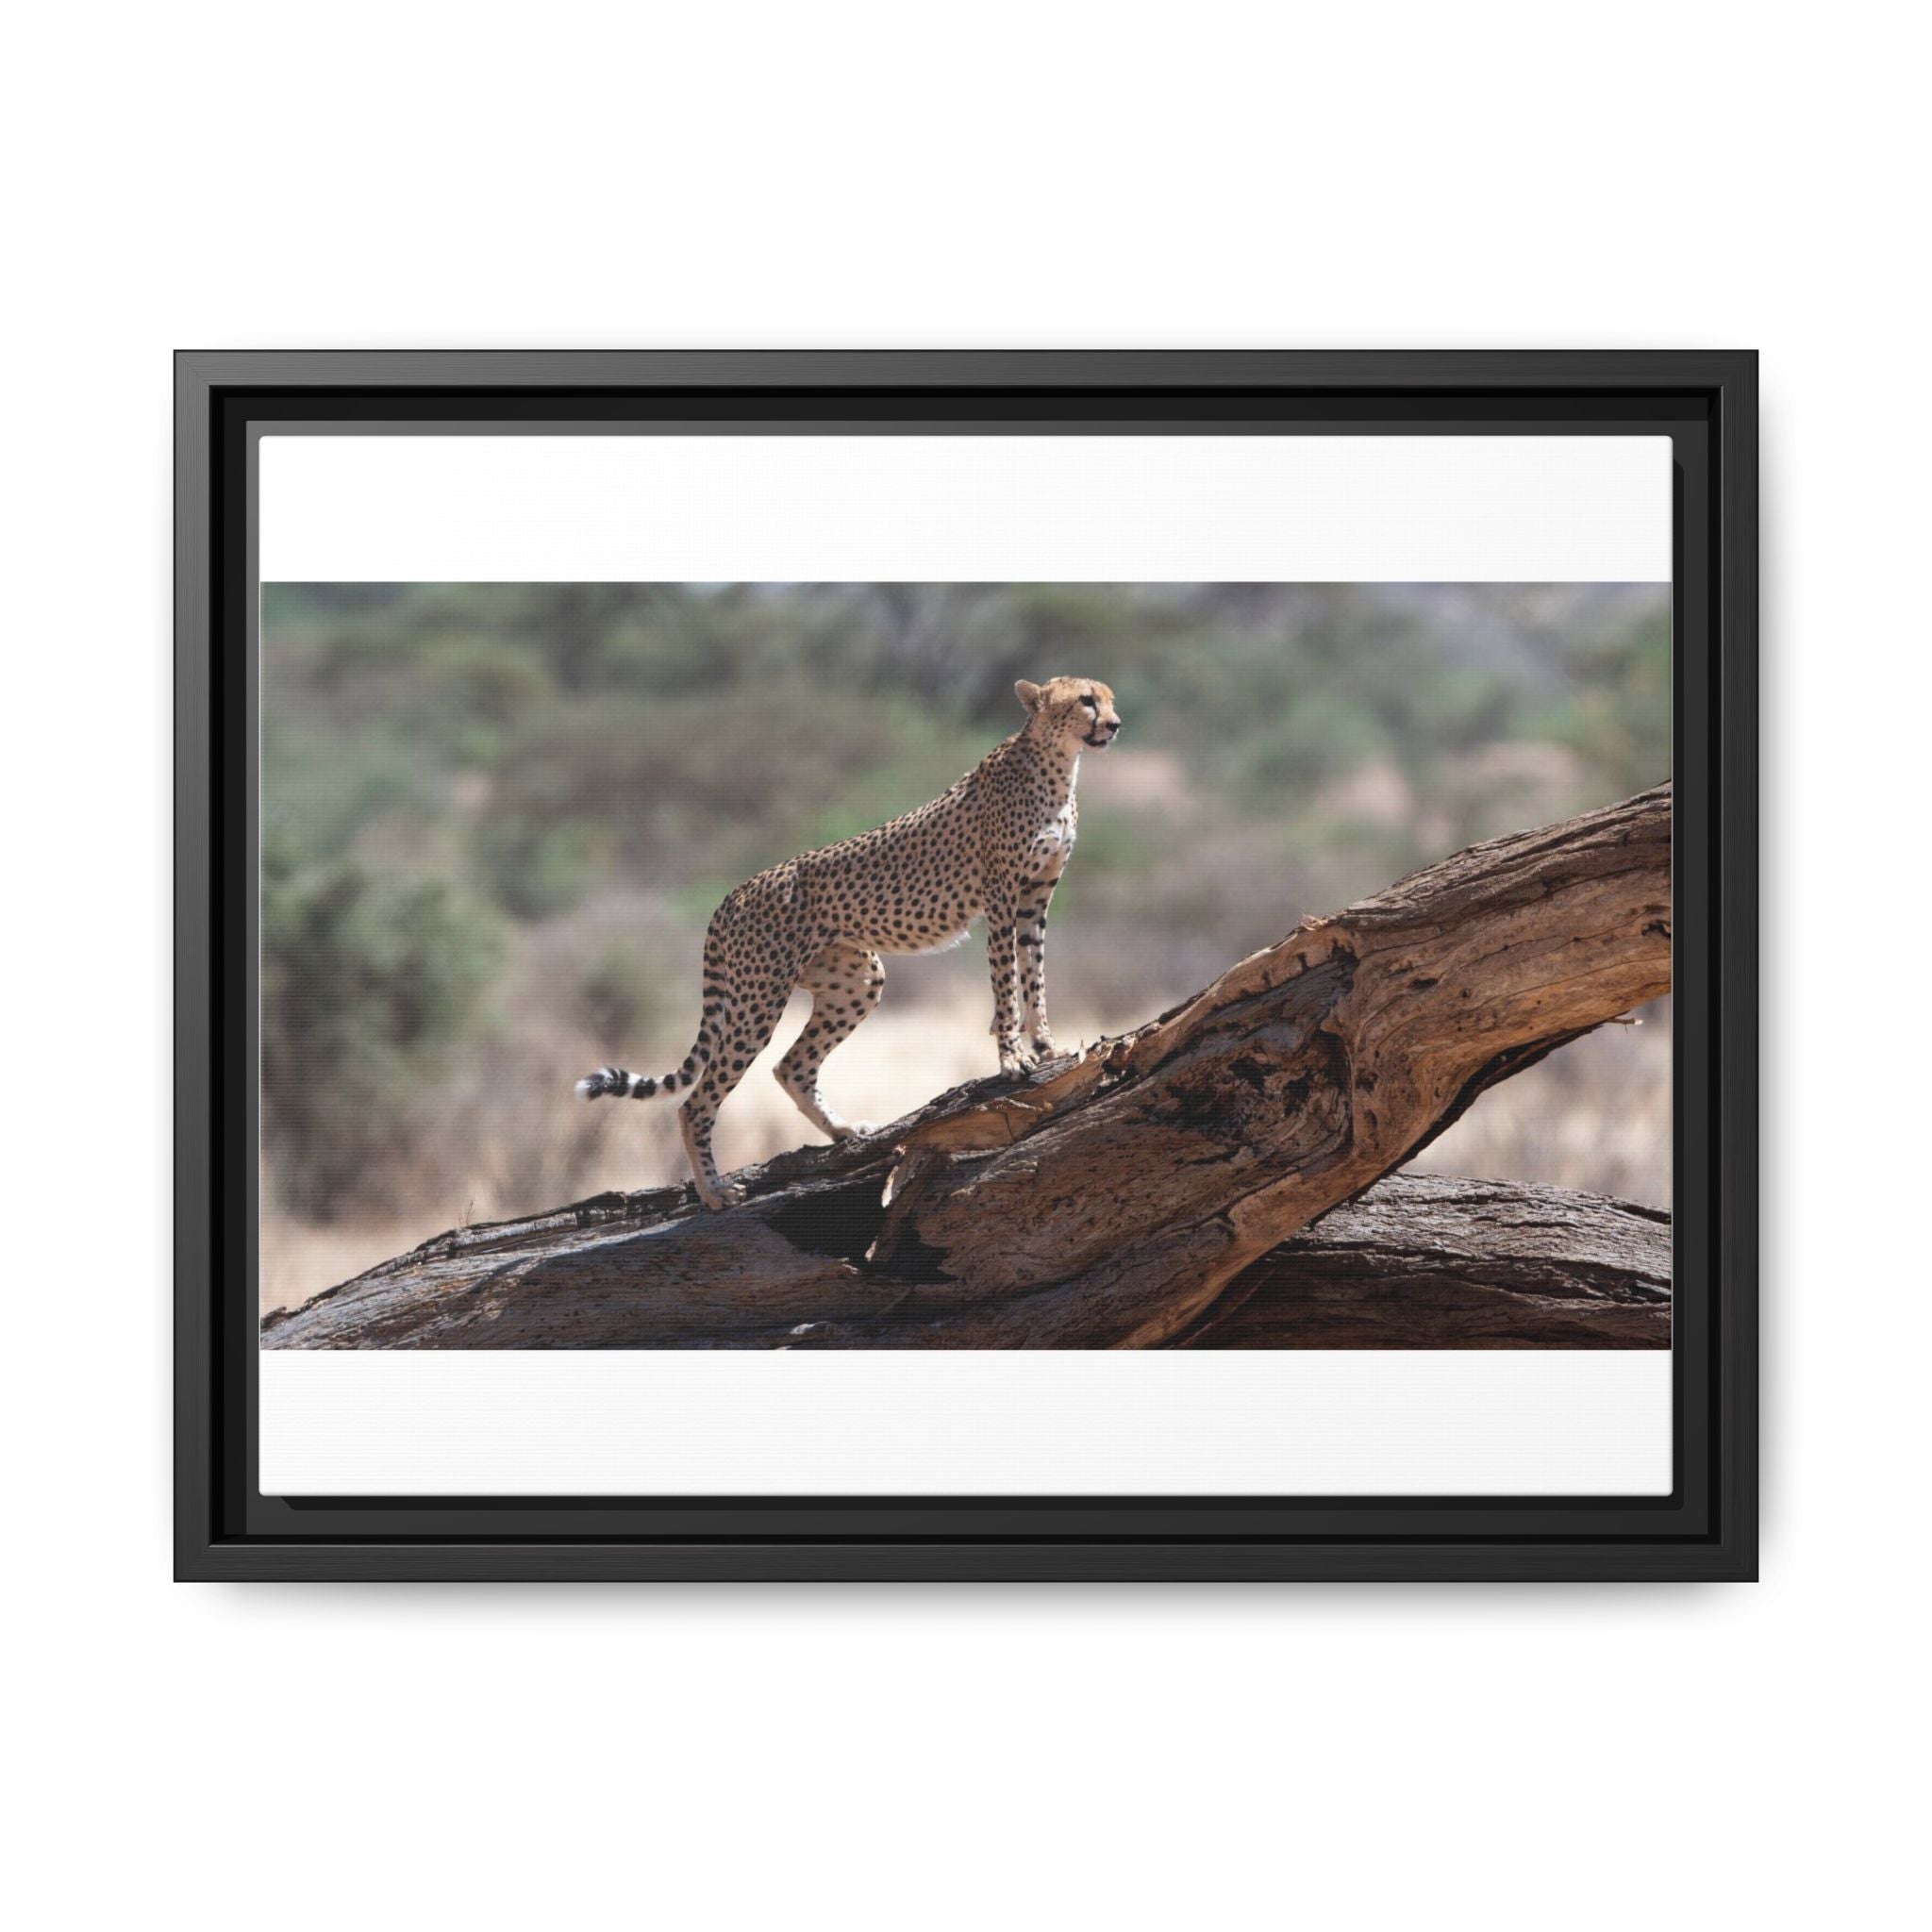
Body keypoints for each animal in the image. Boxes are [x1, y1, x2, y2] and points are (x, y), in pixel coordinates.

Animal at [576, 675, 1122, 1210]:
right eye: (1085, 701)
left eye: (1109, 698)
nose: (1115, 724)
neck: (1058, 764)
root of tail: (735, 892)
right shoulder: (1002, 899)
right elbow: (1006, 984)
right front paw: (1012, 1059)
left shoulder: (1035, 899)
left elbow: (1034, 975)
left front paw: (1046, 1044)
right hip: (758, 998)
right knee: (697, 1100)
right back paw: (715, 1192)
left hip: (856, 979)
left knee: (791, 1066)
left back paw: (843, 1131)